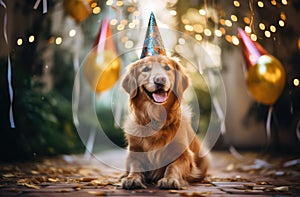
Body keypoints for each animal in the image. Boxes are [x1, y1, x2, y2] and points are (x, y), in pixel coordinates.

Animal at [120, 54, 207, 189]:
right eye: (146, 69)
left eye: (167, 68)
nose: (160, 80)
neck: (157, 119)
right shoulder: (134, 152)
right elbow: (135, 166)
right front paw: (132, 178)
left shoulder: (184, 155)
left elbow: (172, 166)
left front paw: (169, 180)